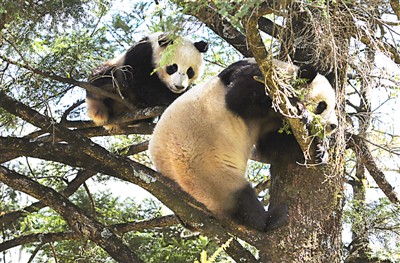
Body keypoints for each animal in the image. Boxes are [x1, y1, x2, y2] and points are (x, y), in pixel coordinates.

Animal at [148, 58, 340, 233]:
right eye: (322, 105)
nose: (333, 125)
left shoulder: (269, 123)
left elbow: (273, 146)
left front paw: (319, 150)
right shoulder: (255, 76)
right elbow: (240, 97)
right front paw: (301, 109)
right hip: (205, 169)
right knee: (242, 198)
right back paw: (271, 219)